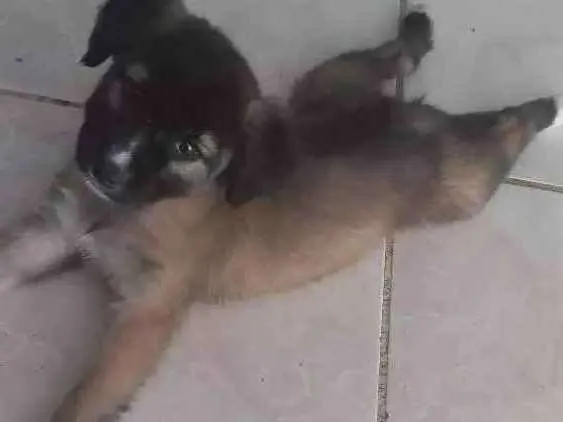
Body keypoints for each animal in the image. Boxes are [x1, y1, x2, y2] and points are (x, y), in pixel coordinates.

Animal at [0, 5, 558, 421]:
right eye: (129, 88)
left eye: (187, 148)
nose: (107, 168)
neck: (125, 210)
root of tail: (408, 117)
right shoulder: (53, 233)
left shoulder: (145, 316)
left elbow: (82, 402)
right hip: (326, 82)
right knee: (391, 60)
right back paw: (416, 29)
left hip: (462, 188)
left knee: (502, 136)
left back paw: (541, 110)